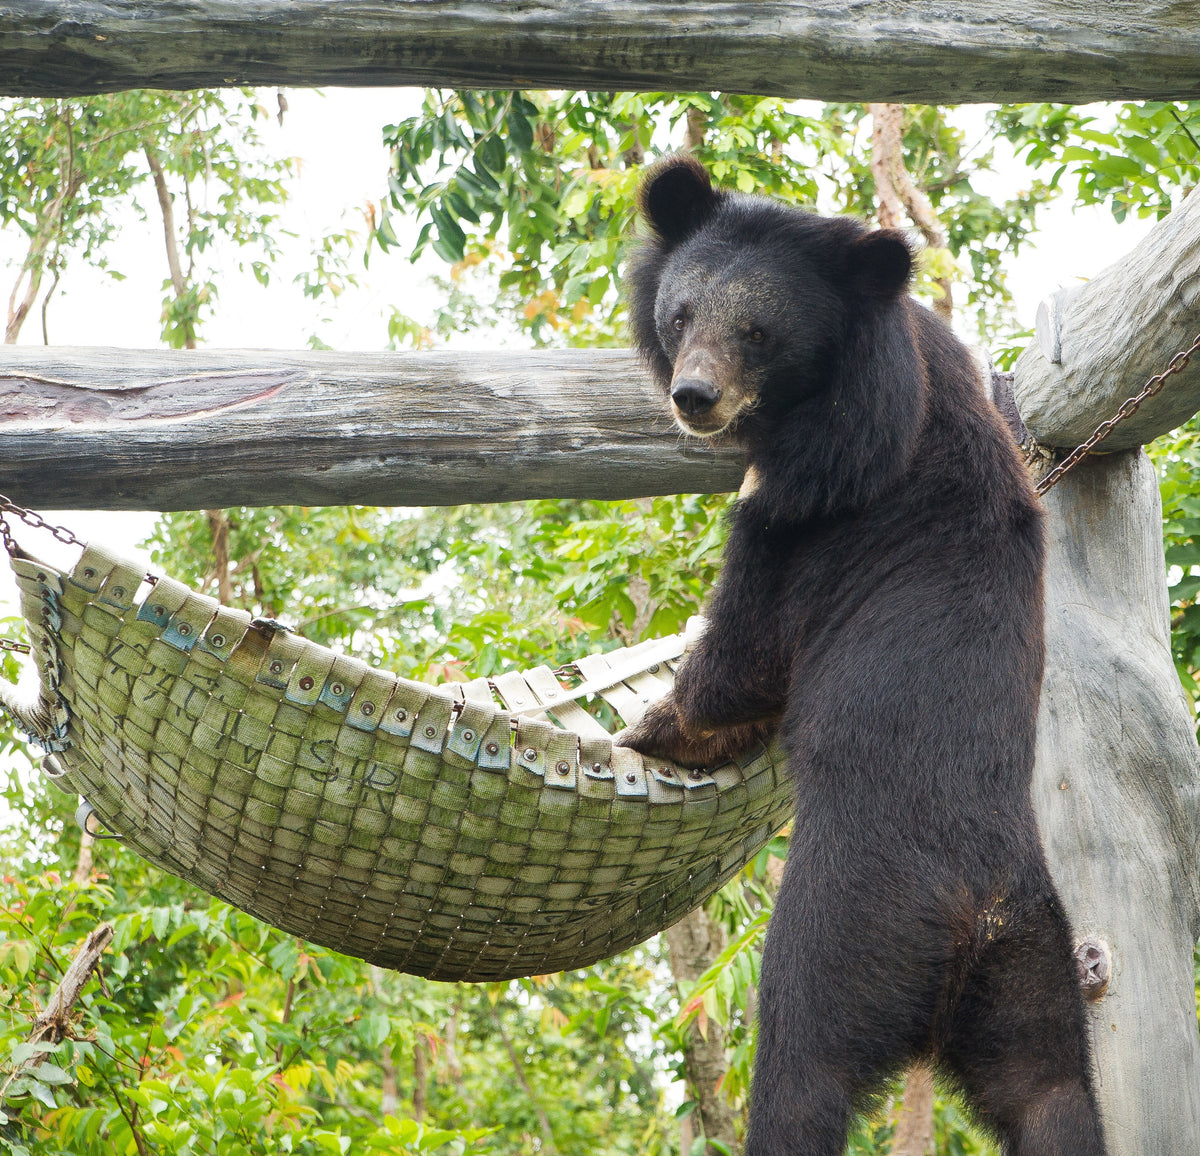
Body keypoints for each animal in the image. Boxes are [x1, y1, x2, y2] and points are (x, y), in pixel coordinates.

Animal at [619, 156, 1104, 1156]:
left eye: (757, 334)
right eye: (680, 315)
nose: (694, 398)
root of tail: (971, 910)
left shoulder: (816, 500)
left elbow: (743, 661)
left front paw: (652, 724)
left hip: (841, 930)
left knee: (803, 1076)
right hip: (1036, 971)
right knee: (1053, 1094)